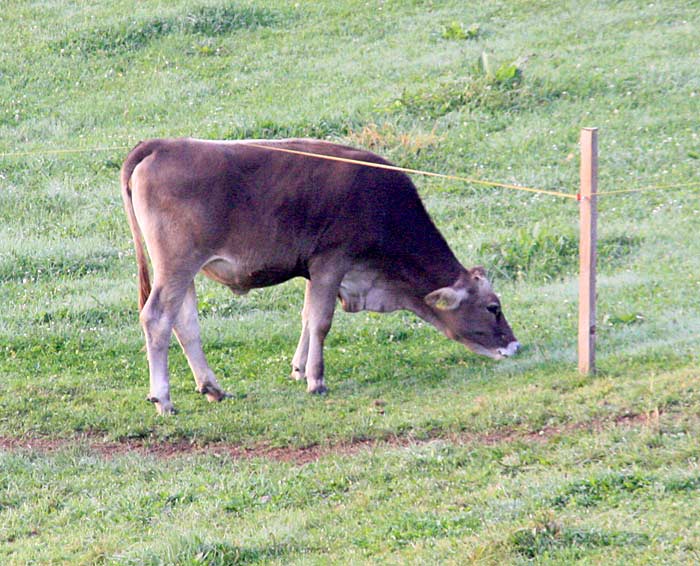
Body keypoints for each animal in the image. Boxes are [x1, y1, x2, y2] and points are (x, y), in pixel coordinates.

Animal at [120, 140, 520, 414]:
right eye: (493, 307)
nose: (515, 346)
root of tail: (162, 144)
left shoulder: (315, 269)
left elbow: (307, 316)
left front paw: (299, 369)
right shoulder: (332, 261)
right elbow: (322, 321)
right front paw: (316, 380)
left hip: (182, 270)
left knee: (185, 323)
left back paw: (213, 388)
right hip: (177, 265)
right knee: (157, 318)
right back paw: (164, 399)